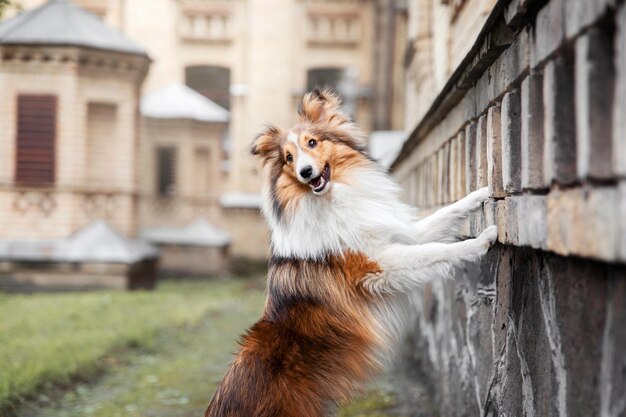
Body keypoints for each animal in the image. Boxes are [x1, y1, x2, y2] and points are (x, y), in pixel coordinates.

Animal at [206, 88, 498, 416]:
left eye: (312, 142)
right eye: (288, 158)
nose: (306, 172)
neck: (333, 199)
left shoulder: (403, 234)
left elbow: (444, 216)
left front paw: (481, 194)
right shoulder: (378, 266)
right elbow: (435, 251)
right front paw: (481, 241)